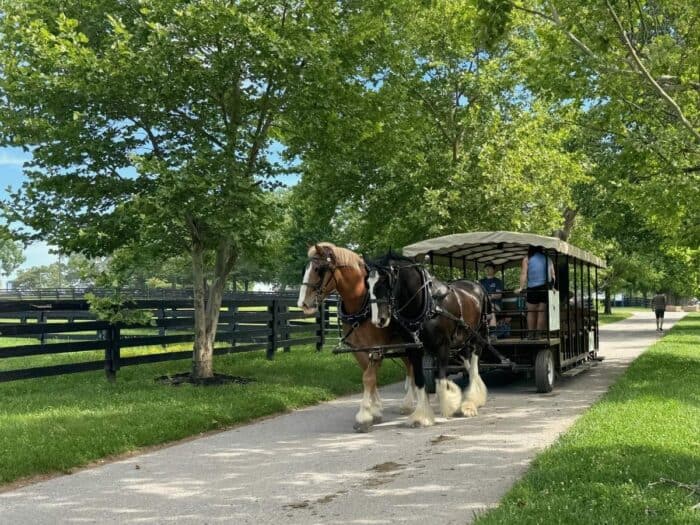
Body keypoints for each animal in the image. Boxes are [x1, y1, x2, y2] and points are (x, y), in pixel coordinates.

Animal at [297, 243, 417, 432]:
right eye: (306, 269)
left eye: (318, 269)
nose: (303, 303)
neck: (360, 303)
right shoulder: (358, 349)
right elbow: (369, 376)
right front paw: (375, 411)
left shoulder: (376, 348)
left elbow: (368, 378)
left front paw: (363, 417)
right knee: (409, 366)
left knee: (412, 367)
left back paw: (409, 403)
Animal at [368, 253, 489, 422]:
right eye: (368, 284)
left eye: (386, 280)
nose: (379, 320)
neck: (429, 304)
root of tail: (476, 284)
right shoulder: (414, 349)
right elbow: (419, 381)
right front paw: (422, 416)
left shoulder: (443, 346)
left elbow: (441, 380)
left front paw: (447, 408)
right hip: (462, 340)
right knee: (468, 363)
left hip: (477, 335)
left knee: (474, 365)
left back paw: (473, 399)